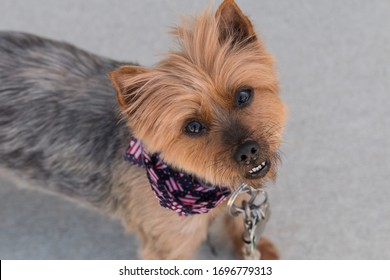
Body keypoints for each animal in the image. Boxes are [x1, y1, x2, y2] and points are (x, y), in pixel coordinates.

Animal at [0, 0, 286, 260]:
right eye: (193, 126)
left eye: (243, 95)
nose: (248, 151)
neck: (197, 183)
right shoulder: (168, 247)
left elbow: (241, 224)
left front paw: (257, 250)